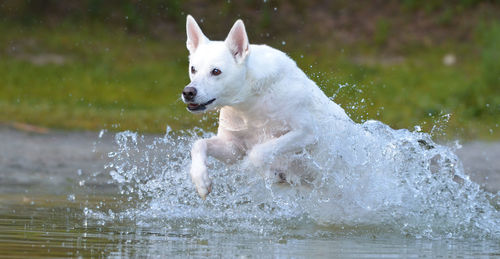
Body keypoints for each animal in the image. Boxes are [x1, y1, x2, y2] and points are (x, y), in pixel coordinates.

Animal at [182, 15, 354, 199]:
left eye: (216, 71)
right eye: (193, 69)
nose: (188, 92)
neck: (249, 103)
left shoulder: (307, 133)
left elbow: (258, 152)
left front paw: (260, 171)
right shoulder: (233, 148)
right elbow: (198, 144)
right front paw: (201, 179)